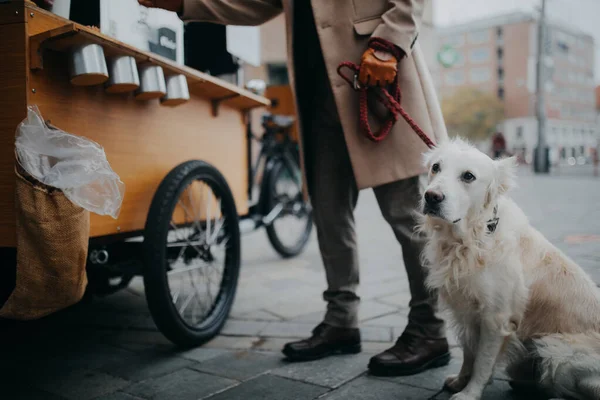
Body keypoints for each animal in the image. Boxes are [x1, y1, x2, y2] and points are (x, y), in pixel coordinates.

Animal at [418, 138, 600, 400]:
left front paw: (470, 393)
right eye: (435, 167)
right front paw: (460, 381)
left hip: (556, 352)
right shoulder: (467, 313)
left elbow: (482, 362)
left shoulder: (496, 318)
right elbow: (469, 354)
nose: (431, 197)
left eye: (468, 176)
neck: (473, 238)